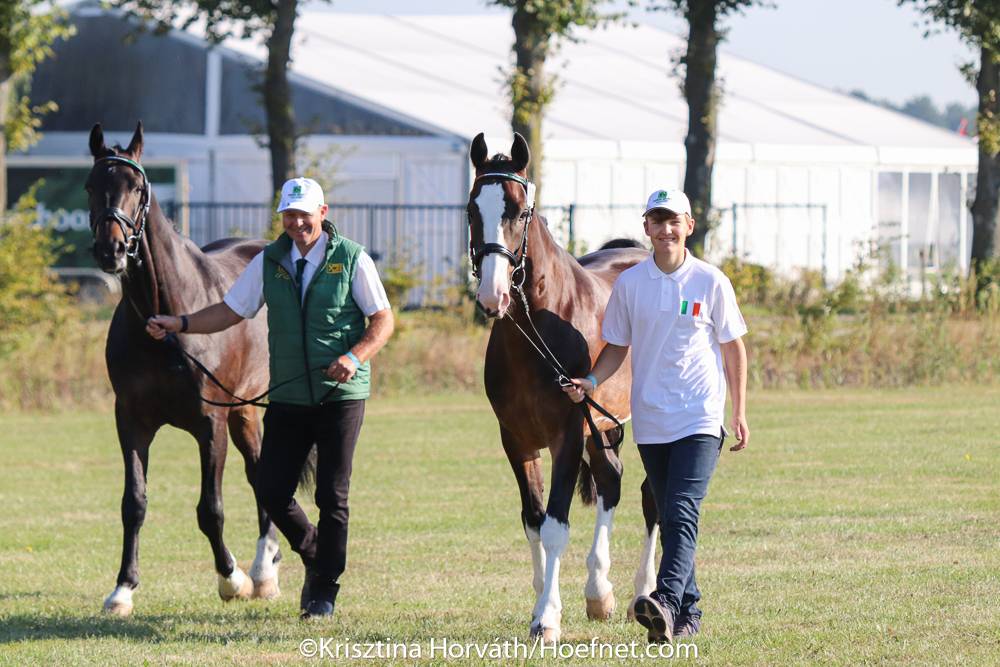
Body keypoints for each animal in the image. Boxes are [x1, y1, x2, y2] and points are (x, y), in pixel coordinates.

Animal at [87, 121, 280, 616]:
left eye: (137, 187)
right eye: (92, 185)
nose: (111, 250)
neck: (166, 316)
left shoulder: (210, 423)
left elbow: (210, 509)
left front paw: (232, 579)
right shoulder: (131, 421)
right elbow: (133, 503)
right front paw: (122, 589)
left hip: (247, 410)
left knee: (264, 476)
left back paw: (262, 570)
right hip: (243, 412)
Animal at [467, 132, 661, 642]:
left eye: (519, 211)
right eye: (473, 208)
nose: (492, 296)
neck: (537, 333)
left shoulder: (567, 434)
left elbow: (556, 524)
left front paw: (547, 618)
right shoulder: (516, 440)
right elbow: (534, 521)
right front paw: (542, 599)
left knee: (652, 496)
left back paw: (643, 592)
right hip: (604, 425)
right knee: (612, 479)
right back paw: (600, 594)